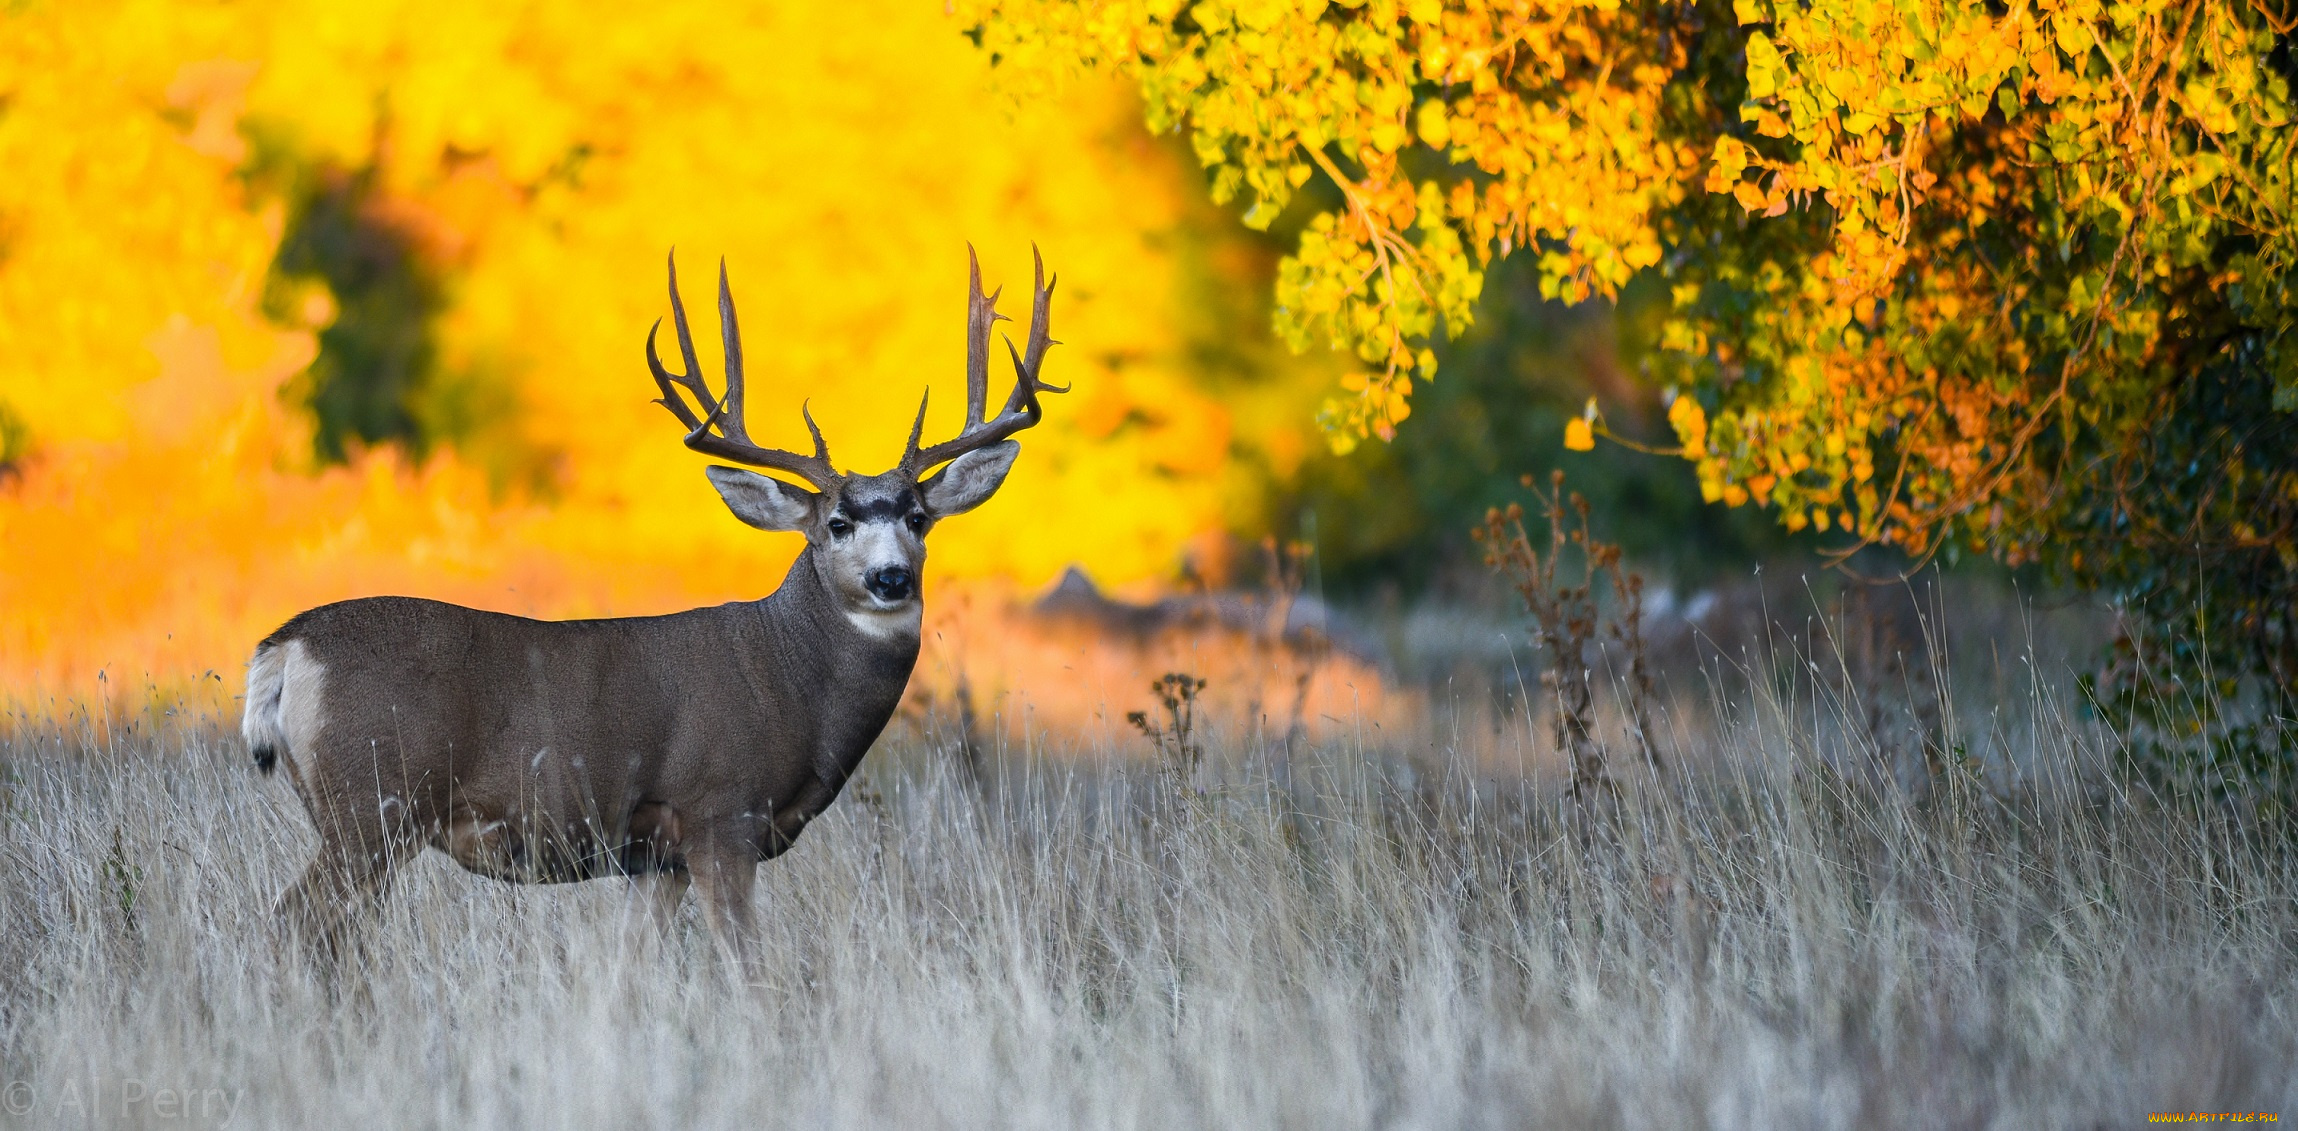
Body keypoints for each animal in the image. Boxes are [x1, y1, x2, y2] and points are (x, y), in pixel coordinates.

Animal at [242, 244, 1066, 960]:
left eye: (920, 518)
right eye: (836, 523)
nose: (892, 577)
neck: (792, 680)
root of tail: (288, 642)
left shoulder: (654, 856)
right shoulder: (720, 812)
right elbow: (746, 963)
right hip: (371, 804)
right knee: (292, 922)